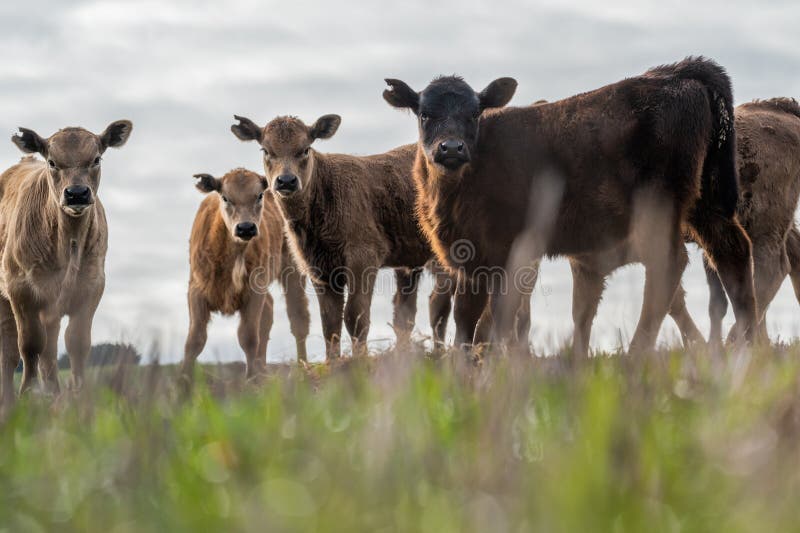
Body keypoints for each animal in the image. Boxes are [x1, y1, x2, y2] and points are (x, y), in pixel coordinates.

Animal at [0, 121, 133, 404]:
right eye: (52, 162)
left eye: (96, 159)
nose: (76, 194)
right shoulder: (21, 290)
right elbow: (29, 344)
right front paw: (28, 393)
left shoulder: (91, 287)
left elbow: (77, 342)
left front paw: (78, 394)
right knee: (10, 351)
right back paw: (10, 401)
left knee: (49, 350)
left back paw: (54, 393)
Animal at [231, 116, 466, 358]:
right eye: (266, 150)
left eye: (305, 149)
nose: (286, 180)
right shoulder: (320, 270)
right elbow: (330, 324)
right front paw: (334, 362)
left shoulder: (363, 258)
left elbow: (355, 318)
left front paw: (359, 361)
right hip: (409, 261)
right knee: (406, 312)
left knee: (439, 305)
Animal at [384, 56, 760, 352]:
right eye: (424, 114)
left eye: (474, 113)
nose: (451, 148)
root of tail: (676, 73)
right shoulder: (481, 261)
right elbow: (480, 319)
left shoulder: (488, 256)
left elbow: (480, 321)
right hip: (707, 203)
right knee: (733, 252)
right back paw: (747, 344)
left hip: (660, 207)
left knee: (668, 266)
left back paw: (637, 353)